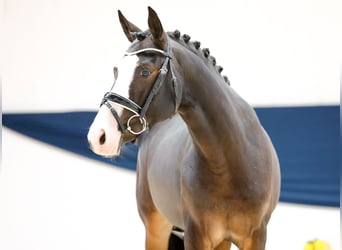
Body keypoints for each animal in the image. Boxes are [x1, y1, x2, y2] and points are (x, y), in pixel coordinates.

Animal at [87, 6, 280, 249]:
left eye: (144, 71)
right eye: (116, 71)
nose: (99, 136)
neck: (231, 162)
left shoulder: (255, 236)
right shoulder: (195, 234)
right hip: (156, 229)